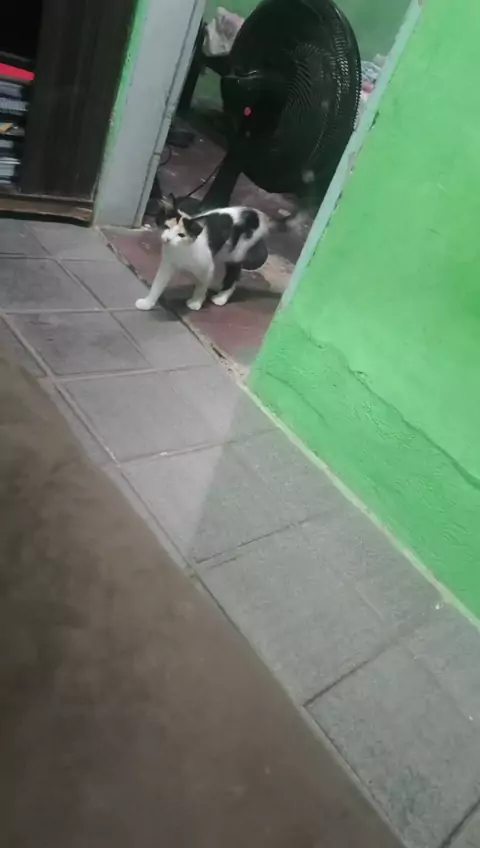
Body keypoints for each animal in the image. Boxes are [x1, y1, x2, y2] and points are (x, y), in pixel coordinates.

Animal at [135, 195, 293, 312]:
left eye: (181, 235)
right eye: (166, 226)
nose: (167, 239)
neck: (182, 250)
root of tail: (259, 215)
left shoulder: (207, 265)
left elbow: (202, 284)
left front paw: (196, 302)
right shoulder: (168, 264)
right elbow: (158, 284)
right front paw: (147, 303)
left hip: (235, 252)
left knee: (234, 274)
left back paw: (222, 296)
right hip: (221, 252)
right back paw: (217, 286)